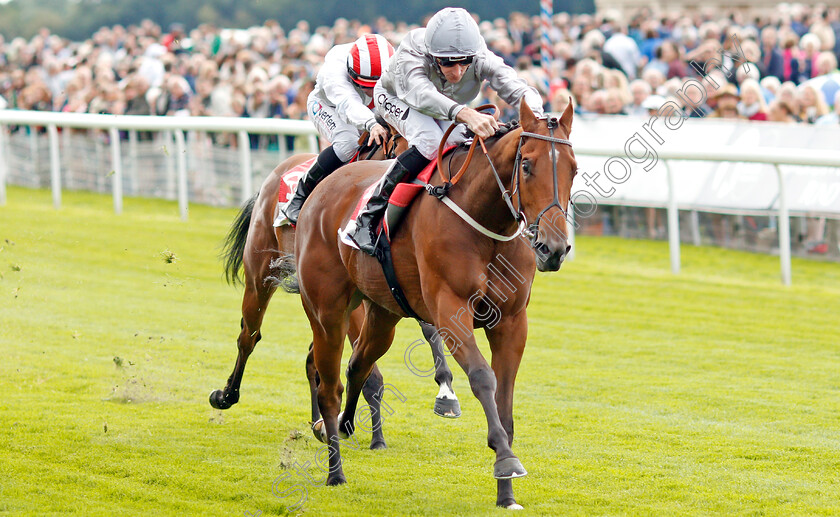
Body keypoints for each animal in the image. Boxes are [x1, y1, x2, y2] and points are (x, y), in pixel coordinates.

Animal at [209, 135, 460, 450]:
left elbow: (430, 330)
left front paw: (446, 391)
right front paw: (372, 433)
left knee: (310, 360)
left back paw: (319, 419)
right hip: (260, 273)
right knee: (249, 336)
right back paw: (227, 395)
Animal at [292, 102, 576, 508]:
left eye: (574, 168)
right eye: (526, 165)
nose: (553, 249)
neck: (487, 222)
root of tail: (324, 186)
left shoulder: (511, 322)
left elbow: (504, 401)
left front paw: (506, 492)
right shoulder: (450, 312)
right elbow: (483, 378)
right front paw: (505, 459)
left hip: (382, 314)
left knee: (359, 363)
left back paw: (345, 426)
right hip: (327, 311)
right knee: (328, 385)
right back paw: (335, 471)